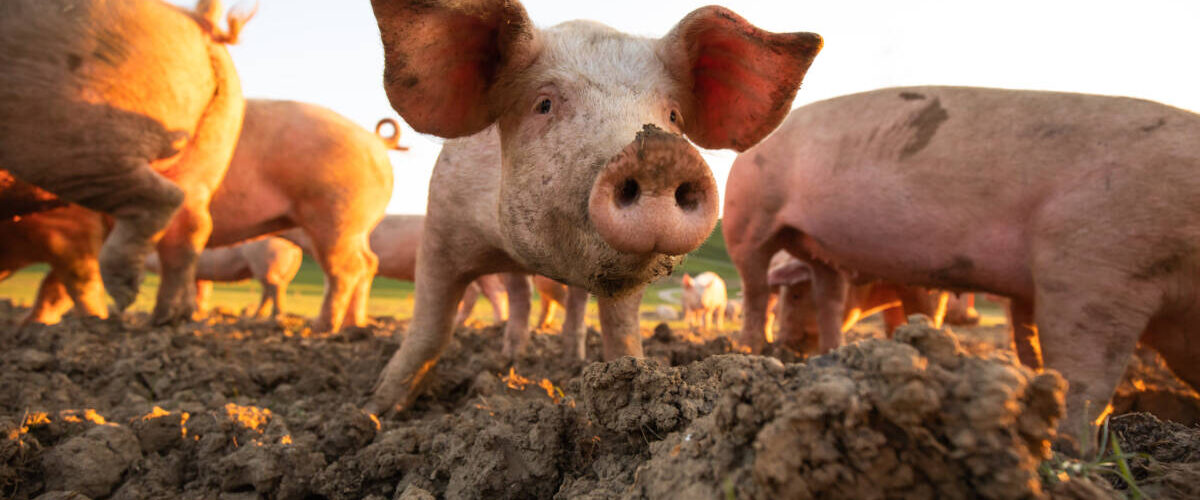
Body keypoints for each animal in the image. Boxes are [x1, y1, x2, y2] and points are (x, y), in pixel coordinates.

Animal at [0, 0, 253, 324]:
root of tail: (198, 20)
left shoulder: (69, 228)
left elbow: (75, 276)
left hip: (68, 132)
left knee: (164, 199)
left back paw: (124, 296)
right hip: (215, 139)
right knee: (193, 221)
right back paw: (168, 318)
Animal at [145, 237, 302, 318]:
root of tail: (295, 247)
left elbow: (194, 292)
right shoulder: (202, 274)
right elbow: (203, 292)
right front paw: (201, 313)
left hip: (265, 261)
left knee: (274, 288)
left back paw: (276, 315)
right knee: (271, 290)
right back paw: (258, 315)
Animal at [204, 100, 396, 333]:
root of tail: (375, 141)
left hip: (337, 216)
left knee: (346, 270)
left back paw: (321, 327)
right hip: (354, 228)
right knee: (368, 262)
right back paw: (353, 325)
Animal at [365, 0, 822, 415]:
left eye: (674, 114)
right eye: (544, 104)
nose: (661, 152)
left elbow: (621, 329)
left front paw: (635, 378)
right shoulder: (441, 225)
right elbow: (430, 328)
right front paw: (378, 410)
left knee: (567, 306)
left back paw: (569, 360)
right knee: (520, 300)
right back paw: (507, 361)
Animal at [722, 85, 1200, 447]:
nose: (791, 341)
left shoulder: (1036, 286)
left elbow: (1028, 340)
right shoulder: (1093, 258)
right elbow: (1084, 370)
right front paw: (1066, 448)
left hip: (817, 250)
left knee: (828, 296)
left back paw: (825, 354)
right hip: (747, 216)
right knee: (755, 288)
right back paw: (751, 351)